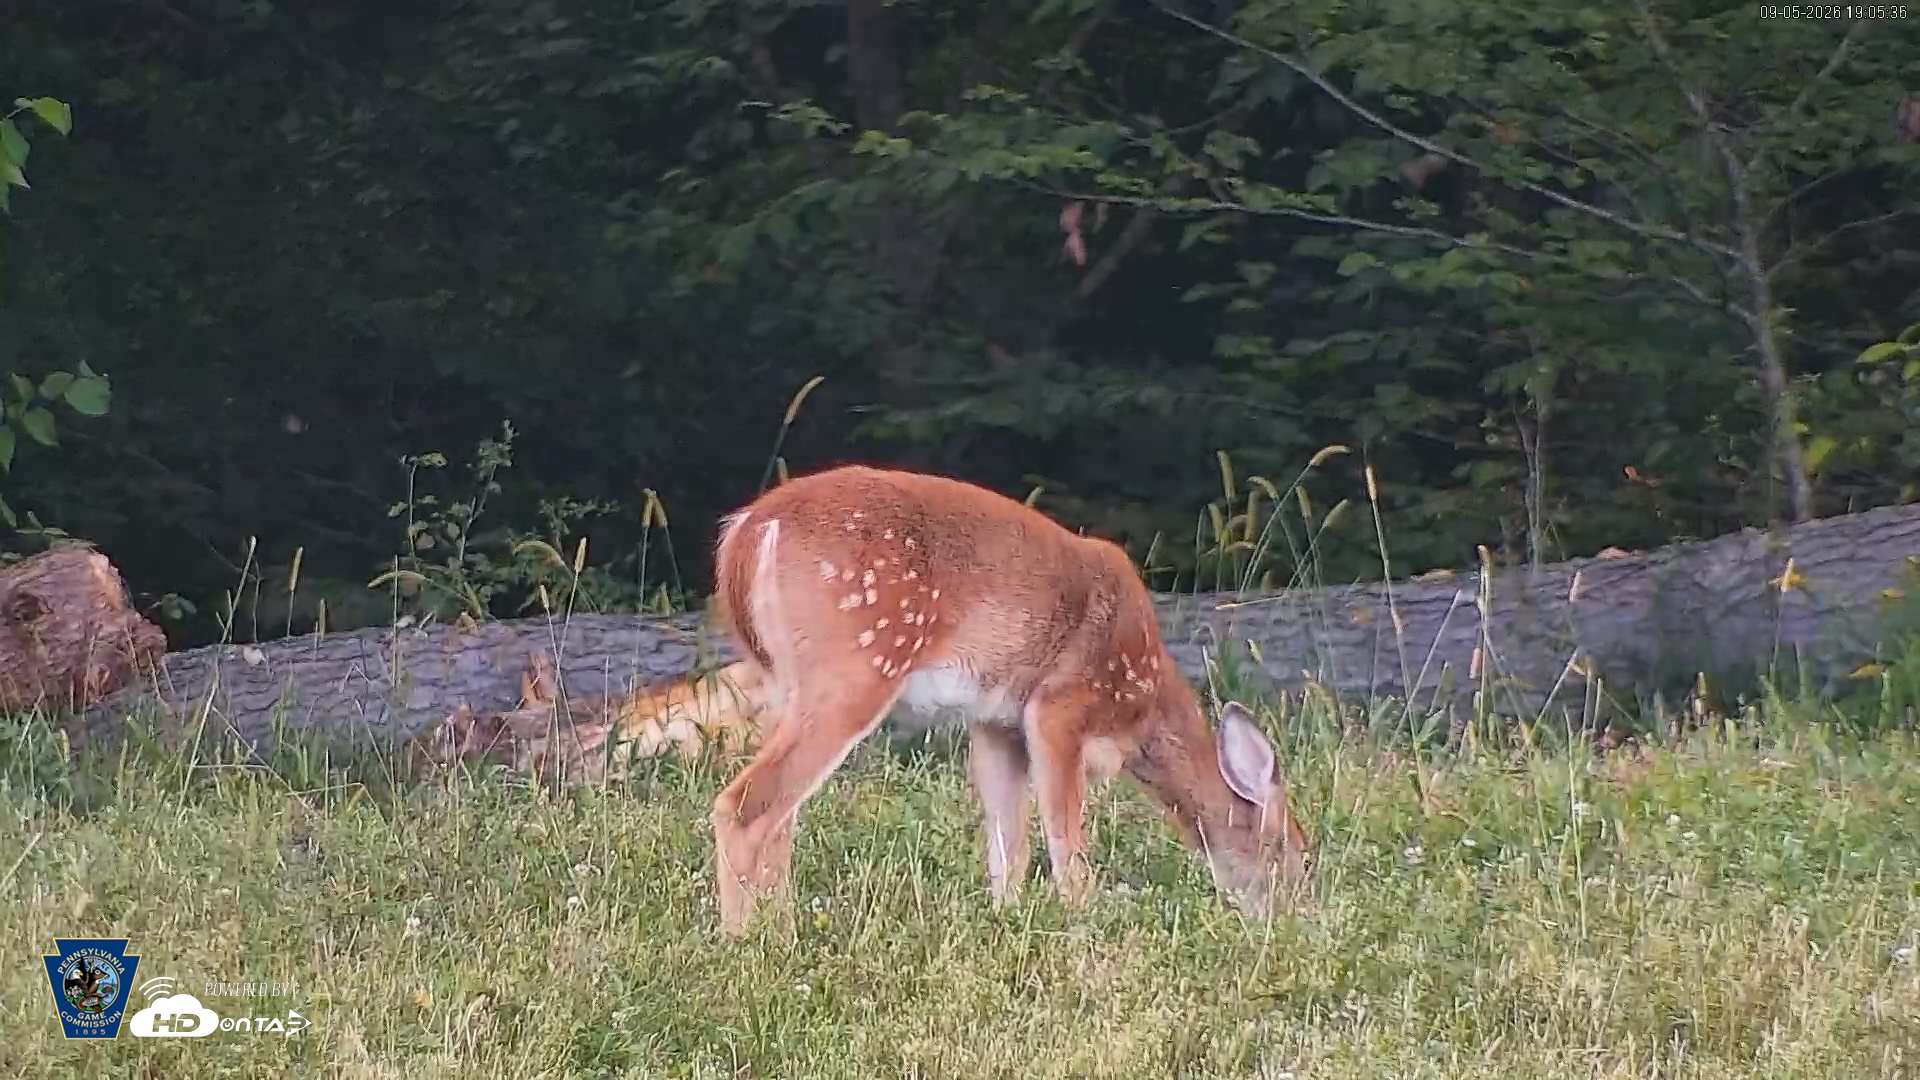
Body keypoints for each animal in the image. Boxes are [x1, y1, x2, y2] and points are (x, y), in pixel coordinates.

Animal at [707, 464, 1313, 937]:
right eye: (1296, 854)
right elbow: (1067, 843)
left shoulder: (995, 724)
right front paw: (1081, 924)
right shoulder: (1059, 706)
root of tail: (748, 532)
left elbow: (1008, 844)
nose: (1295, 924)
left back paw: (779, 927)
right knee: (746, 804)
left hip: (783, 683)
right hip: (858, 662)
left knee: (781, 814)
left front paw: (1009, 920)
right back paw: (745, 941)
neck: (1142, 710)